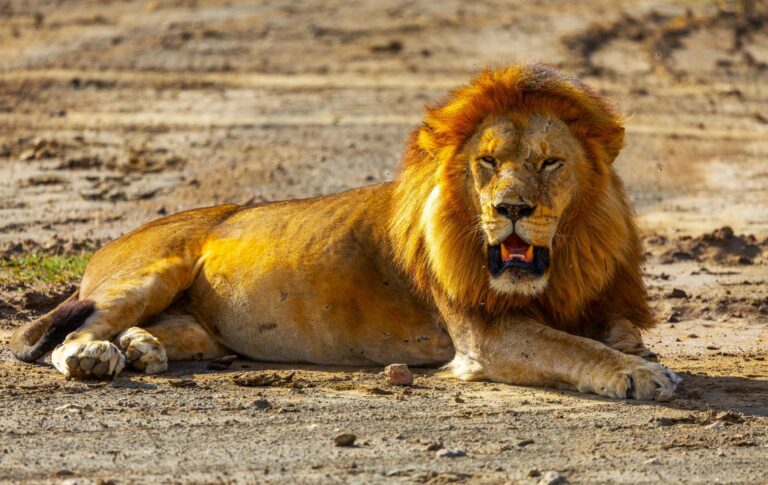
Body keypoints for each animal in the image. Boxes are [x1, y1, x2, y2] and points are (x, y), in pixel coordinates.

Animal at [10, 63, 679, 399]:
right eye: (488, 162)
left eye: (550, 162)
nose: (511, 208)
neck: (556, 265)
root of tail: (107, 247)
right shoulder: (485, 335)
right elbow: (571, 347)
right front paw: (642, 375)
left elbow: (611, 333)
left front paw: (637, 354)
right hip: (149, 273)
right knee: (67, 333)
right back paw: (96, 357)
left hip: (202, 328)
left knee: (156, 331)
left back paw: (143, 348)